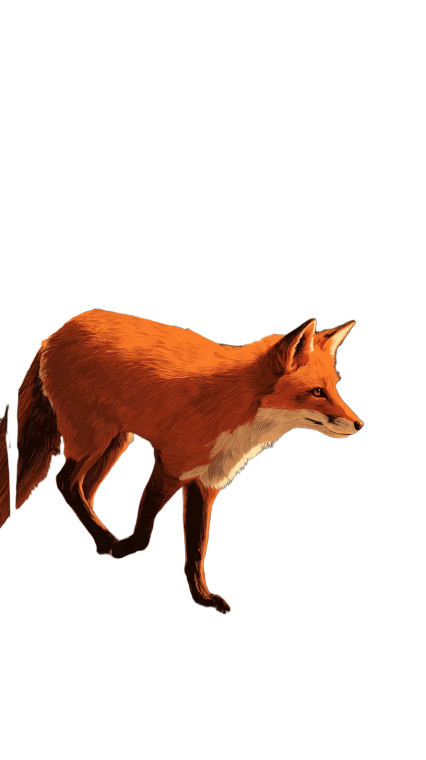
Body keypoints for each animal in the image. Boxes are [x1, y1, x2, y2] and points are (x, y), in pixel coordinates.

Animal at [1, 310, 363, 613]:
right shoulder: (172, 465)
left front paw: (202, 598)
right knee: (65, 482)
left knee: (84, 489)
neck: (235, 406)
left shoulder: (205, 482)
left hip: (116, 442)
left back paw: (100, 539)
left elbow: (197, 550)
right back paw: (106, 540)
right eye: (316, 392)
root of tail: (55, 333)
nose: (360, 424)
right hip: (94, 439)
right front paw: (126, 548)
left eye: (335, 386)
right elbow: (146, 527)